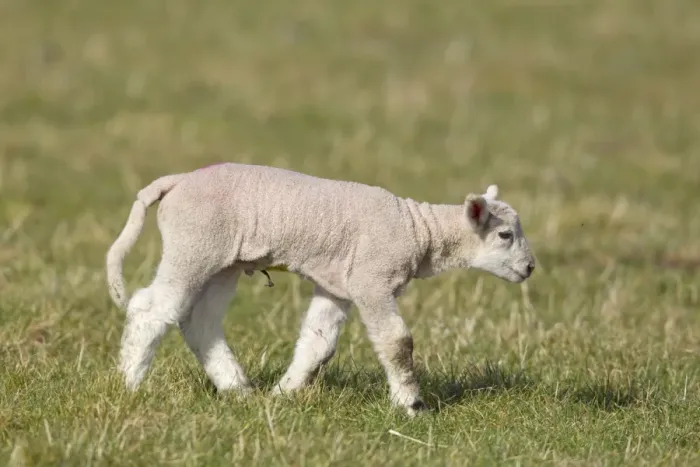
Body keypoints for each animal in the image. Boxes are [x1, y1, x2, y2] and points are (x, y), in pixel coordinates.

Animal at [106, 162, 535, 416]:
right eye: (504, 235)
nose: (530, 267)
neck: (418, 230)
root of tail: (177, 181)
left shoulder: (338, 285)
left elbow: (318, 343)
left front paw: (284, 394)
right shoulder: (371, 280)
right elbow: (397, 342)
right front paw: (412, 405)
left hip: (223, 263)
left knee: (200, 322)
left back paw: (239, 390)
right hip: (194, 244)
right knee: (150, 308)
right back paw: (130, 384)